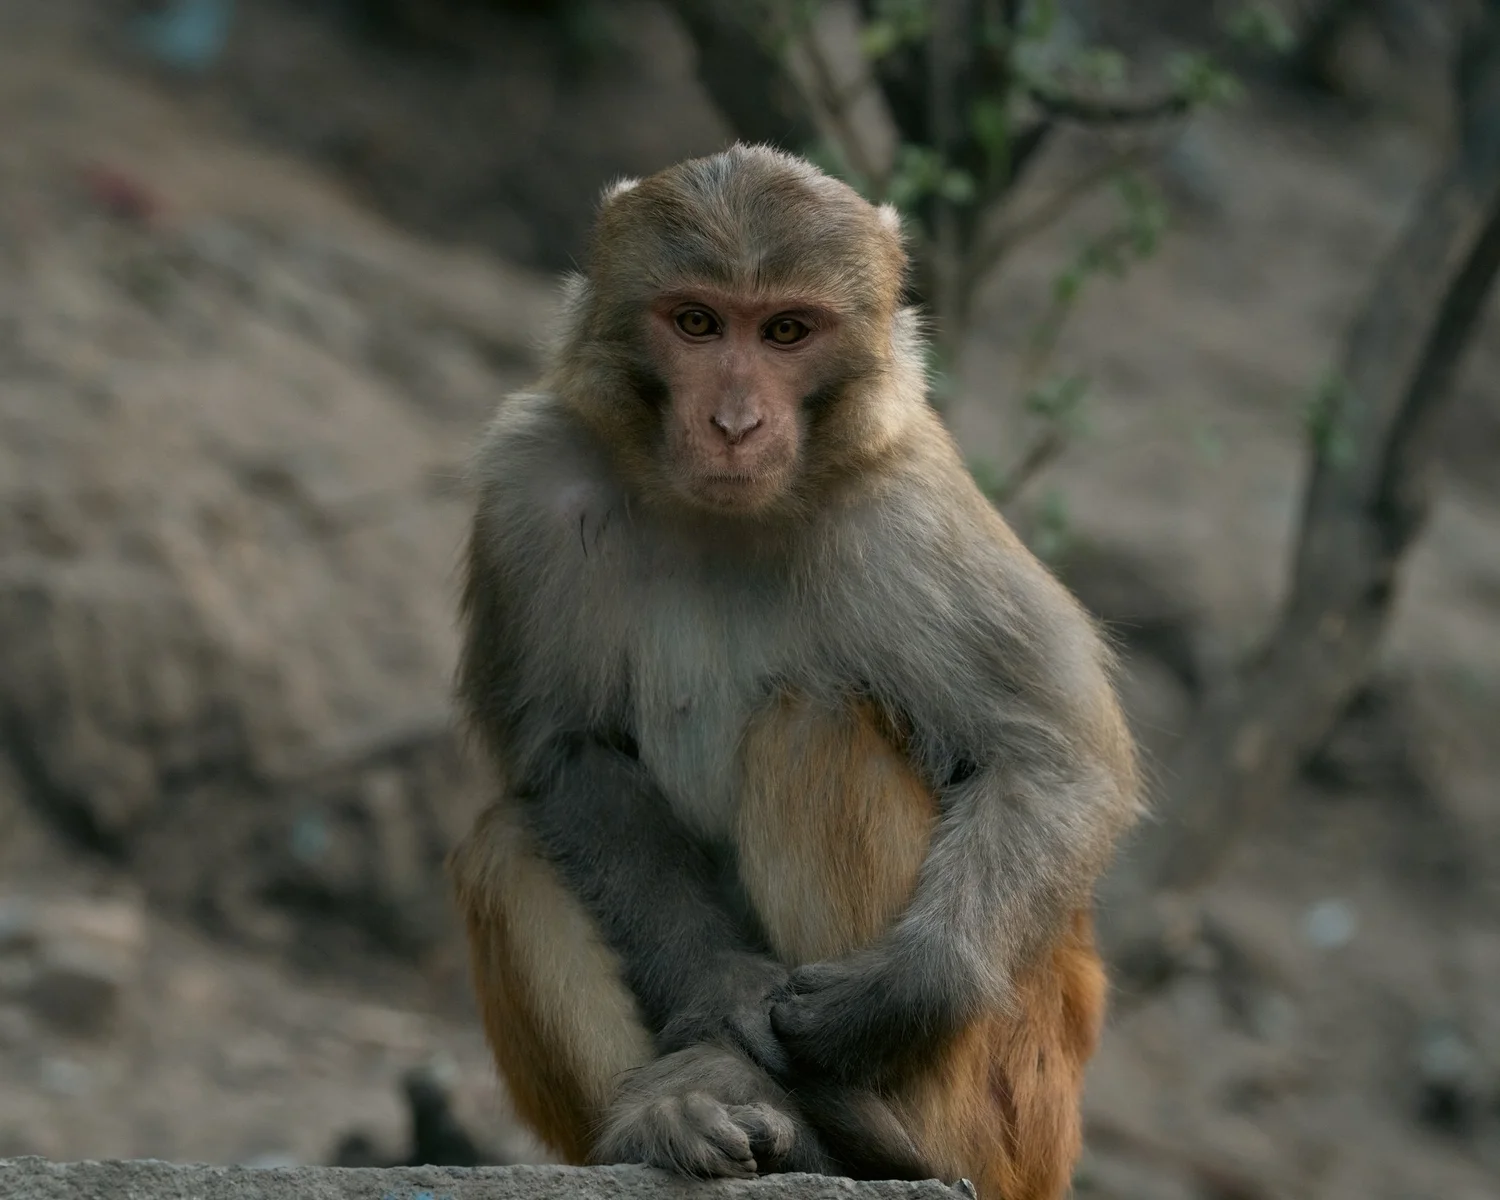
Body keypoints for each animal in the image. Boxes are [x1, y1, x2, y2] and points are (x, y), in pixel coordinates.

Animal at [447, 144, 1143, 1200]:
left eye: (786, 331)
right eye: (697, 322)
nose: (735, 422)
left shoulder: (911, 515)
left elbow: (1057, 758)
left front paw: (902, 991)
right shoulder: (532, 481)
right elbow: (571, 755)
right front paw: (719, 988)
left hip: (1007, 1101)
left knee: (815, 724)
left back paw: (871, 1138)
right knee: (505, 843)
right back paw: (675, 1112)